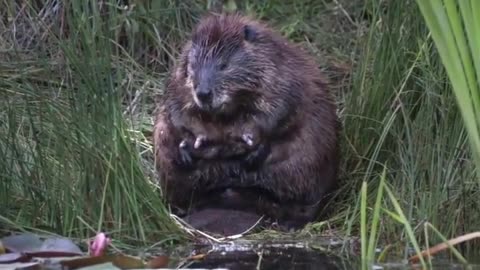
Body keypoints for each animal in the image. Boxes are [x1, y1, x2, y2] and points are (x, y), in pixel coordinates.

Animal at [152, 12, 340, 232]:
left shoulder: (283, 74)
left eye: (224, 65)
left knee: (305, 204)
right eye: (193, 66)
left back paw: (290, 223)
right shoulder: (177, 80)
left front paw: (251, 144)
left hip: (309, 167)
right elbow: (176, 111)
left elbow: (281, 111)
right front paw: (191, 145)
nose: (203, 93)